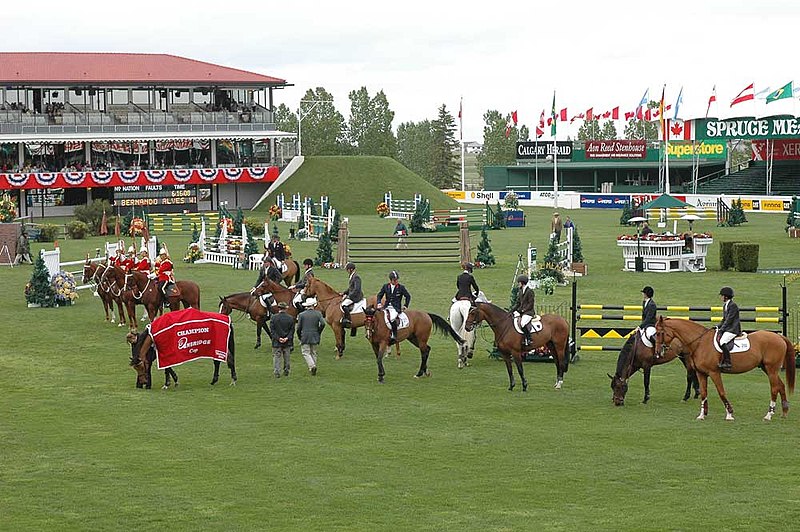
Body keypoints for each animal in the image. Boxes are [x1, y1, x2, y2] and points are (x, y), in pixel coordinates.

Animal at [656, 314, 792, 422]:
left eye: (659, 333)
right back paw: (784, 412)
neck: (700, 342)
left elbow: (721, 392)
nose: (657, 352)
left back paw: (769, 415)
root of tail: (779, 337)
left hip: (771, 369)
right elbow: (703, 393)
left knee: (774, 388)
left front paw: (729, 414)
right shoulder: (701, 373)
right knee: (781, 386)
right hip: (767, 368)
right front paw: (702, 415)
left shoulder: (714, 372)